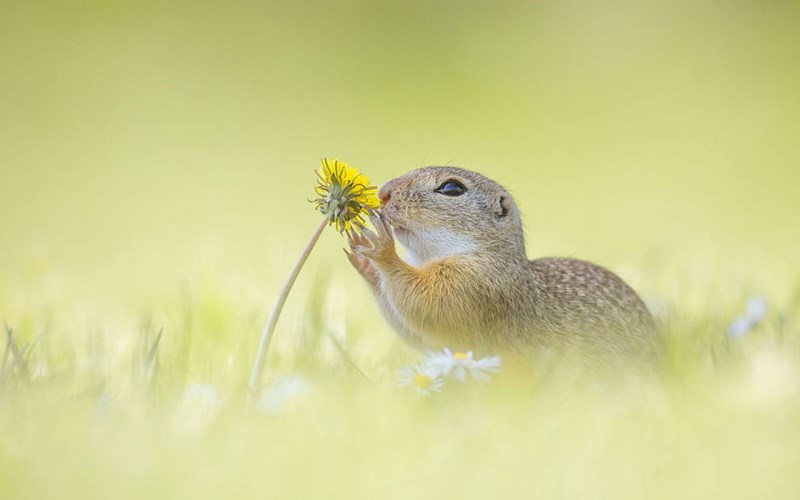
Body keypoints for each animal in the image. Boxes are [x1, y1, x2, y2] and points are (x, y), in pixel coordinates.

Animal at [346, 166, 657, 364]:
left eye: (451, 188)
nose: (383, 192)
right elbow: (416, 333)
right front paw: (365, 263)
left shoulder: (471, 286)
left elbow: (428, 305)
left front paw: (382, 250)